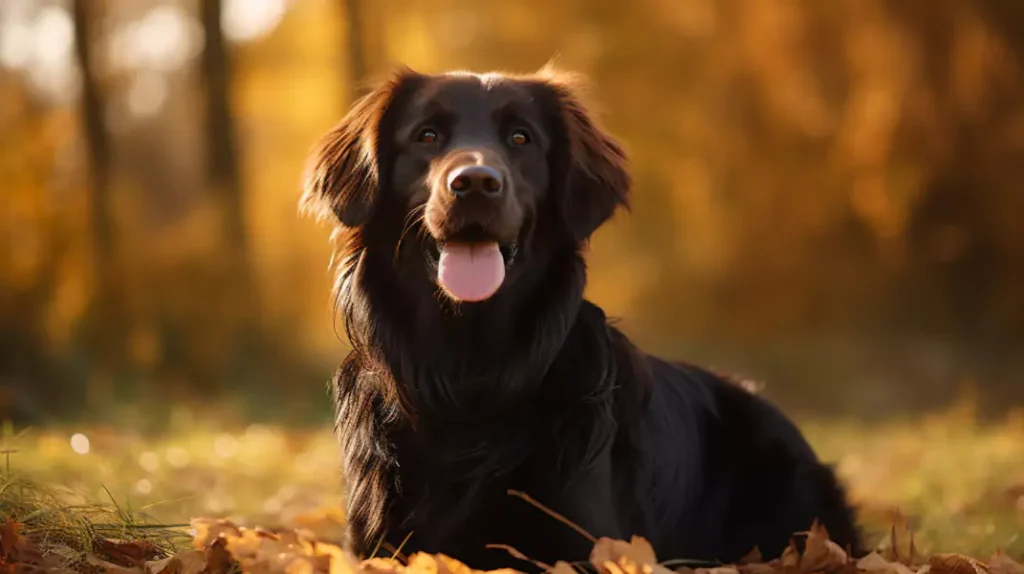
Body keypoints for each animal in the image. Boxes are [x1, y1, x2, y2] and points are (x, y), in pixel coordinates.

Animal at [299, 65, 860, 568]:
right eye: (427, 135)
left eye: (521, 138)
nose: (476, 182)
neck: (469, 373)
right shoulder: (378, 546)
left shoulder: (583, 542)